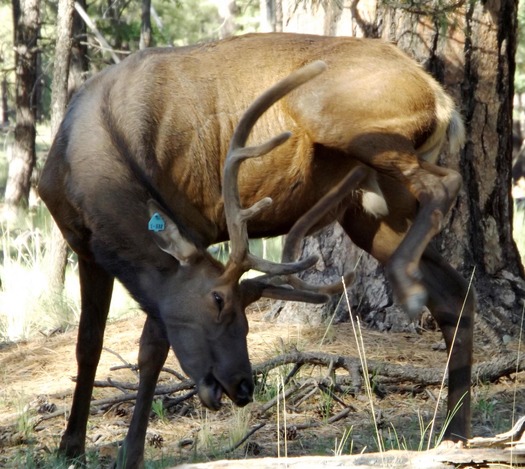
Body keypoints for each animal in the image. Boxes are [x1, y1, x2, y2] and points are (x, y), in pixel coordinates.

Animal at [39, 32, 472, 464]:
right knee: (453, 293)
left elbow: (151, 350)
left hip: (331, 114)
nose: (244, 385)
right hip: (374, 211)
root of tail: (440, 98)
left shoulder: (190, 224)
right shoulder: (84, 248)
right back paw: (454, 434)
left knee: (447, 182)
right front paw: (70, 445)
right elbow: (88, 345)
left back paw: (407, 288)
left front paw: (131, 454)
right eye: (219, 300)